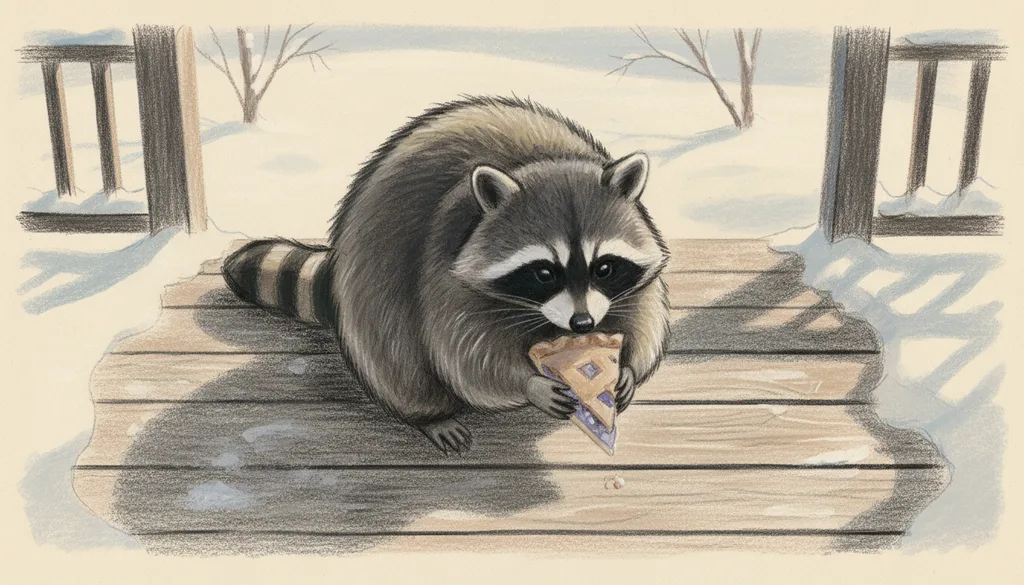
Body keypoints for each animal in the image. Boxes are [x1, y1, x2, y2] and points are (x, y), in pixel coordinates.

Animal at [223, 96, 670, 454]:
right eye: (544, 272)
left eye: (605, 267)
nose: (583, 323)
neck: (539, 163)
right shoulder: (442, 266)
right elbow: (464, 354)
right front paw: (527, 383)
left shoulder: (631, 280)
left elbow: (643, 311)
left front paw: (628, 367)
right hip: (370, 282)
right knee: (394, 354)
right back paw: (429, 414)